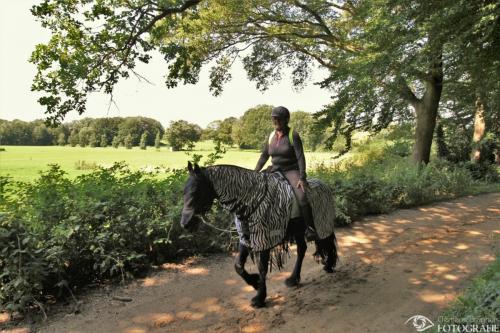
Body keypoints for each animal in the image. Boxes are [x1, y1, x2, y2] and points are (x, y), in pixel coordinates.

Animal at [180, 162, 340, 308]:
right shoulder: (246, 239)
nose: (185, 224)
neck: (250, 202)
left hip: (322, 223)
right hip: (299, 230)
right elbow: (238, 266)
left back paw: (329, 265)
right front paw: (255, 283)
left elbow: (262, 267)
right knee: (302, 249)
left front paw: (260, 297)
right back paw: (294, 278)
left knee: (327, 240)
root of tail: (324, 185)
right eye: (184, 191)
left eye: (196, 191)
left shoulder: (264, 240)